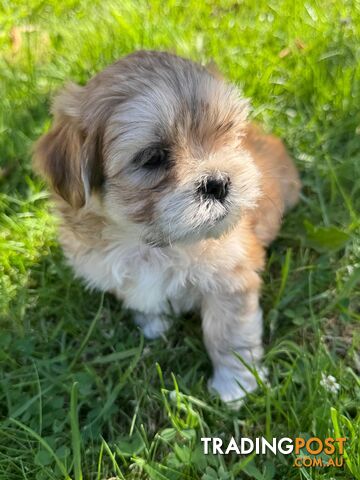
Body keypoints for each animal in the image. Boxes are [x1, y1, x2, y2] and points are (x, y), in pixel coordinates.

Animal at [34, 50, 300, 404]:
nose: (218, 182)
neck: (150, 243)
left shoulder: (229, 279)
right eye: (153, 157)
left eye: (228, 135)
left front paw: (235, 384)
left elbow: (228, 334)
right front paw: (153, 323)